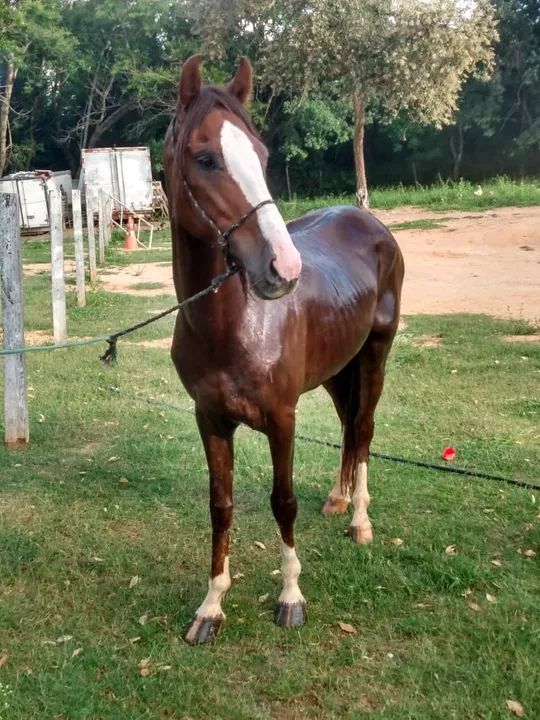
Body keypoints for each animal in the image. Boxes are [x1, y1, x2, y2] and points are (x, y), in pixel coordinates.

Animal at [164, 54, 404, 645]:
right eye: (205, 158)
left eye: (262, 154)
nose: (284, 269)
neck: (232, 325)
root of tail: (369, 221)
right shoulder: (209, 419)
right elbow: (221, 506)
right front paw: (211, 607)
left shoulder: (283, 417)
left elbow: (284, 501)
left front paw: (291, 597)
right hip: (338, 368)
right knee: (348, 428)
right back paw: (339, 498)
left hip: (374, 354)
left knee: (364, 428)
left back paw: (359, 520)